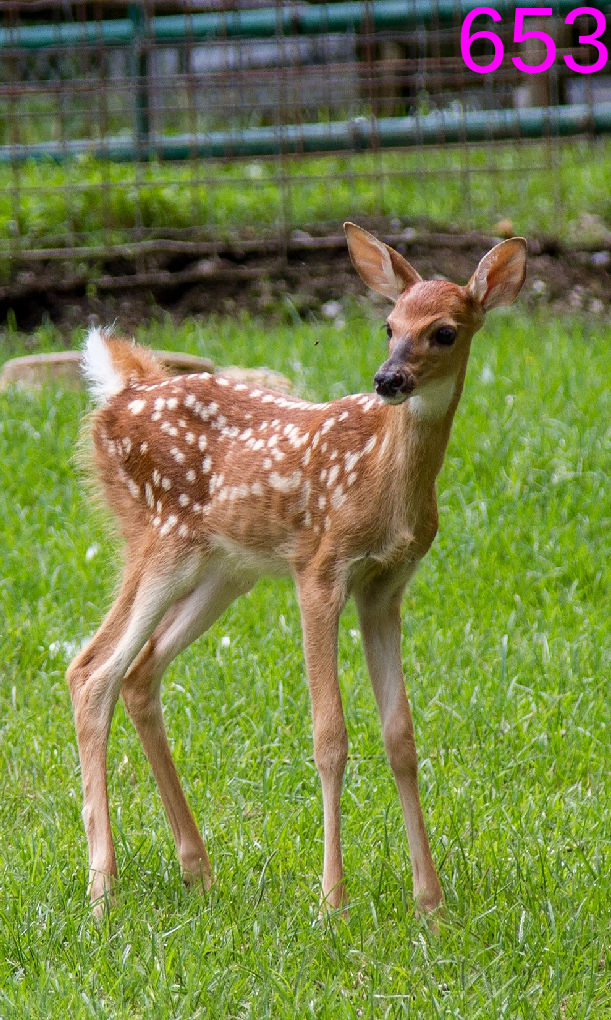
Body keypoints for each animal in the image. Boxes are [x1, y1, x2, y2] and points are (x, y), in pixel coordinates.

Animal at [66, 223, 527, 917]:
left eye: (445, 331)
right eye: (388, 324)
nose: (388, 379)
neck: (384, 480)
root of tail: (120, 389)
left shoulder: (385, 587)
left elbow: (401, 737)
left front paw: (431, 902)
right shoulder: (320, 570)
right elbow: (329, 735)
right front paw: (333, 900)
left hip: (225, 569)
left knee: (140, 672)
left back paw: (198, 871)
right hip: (159, 539)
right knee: (91, 671)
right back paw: (103, 890)